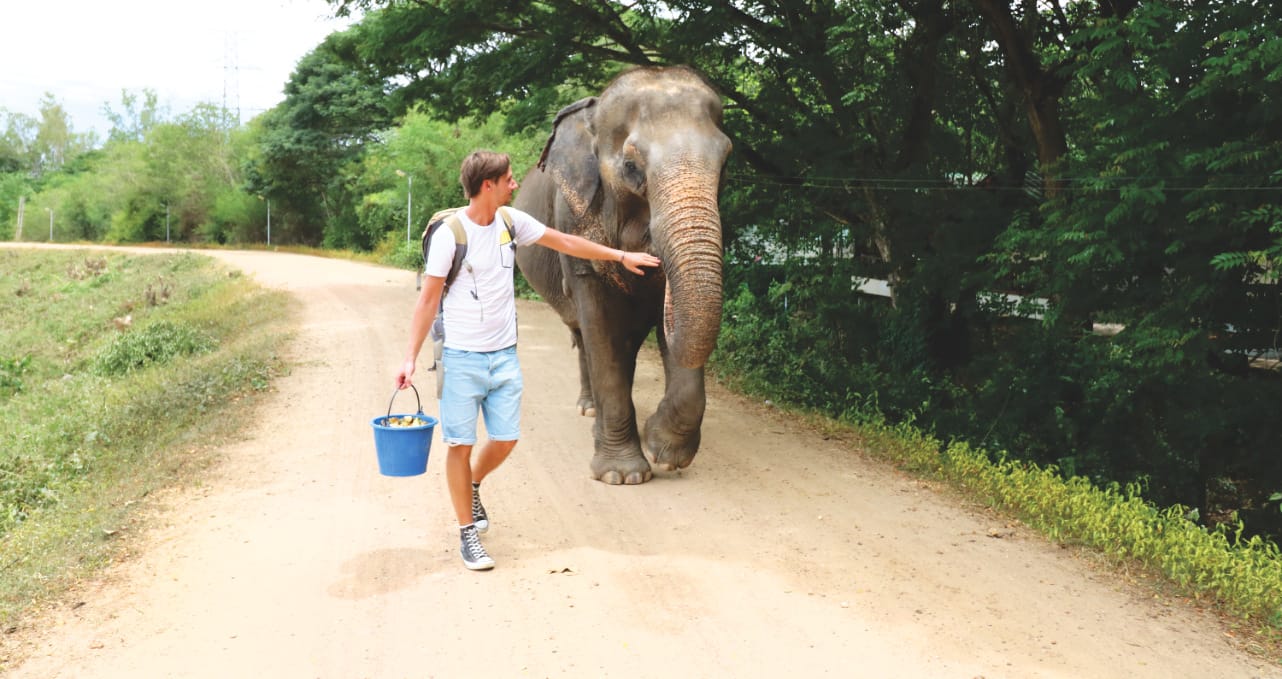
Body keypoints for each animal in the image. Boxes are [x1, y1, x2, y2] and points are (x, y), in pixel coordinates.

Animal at [514, 66, 731, 485]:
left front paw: (663, 450)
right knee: (586, 338)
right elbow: (599, 324)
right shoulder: (573, 220)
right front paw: (622, 475)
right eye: (631, 168)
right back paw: (589, 410)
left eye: (726, 161)